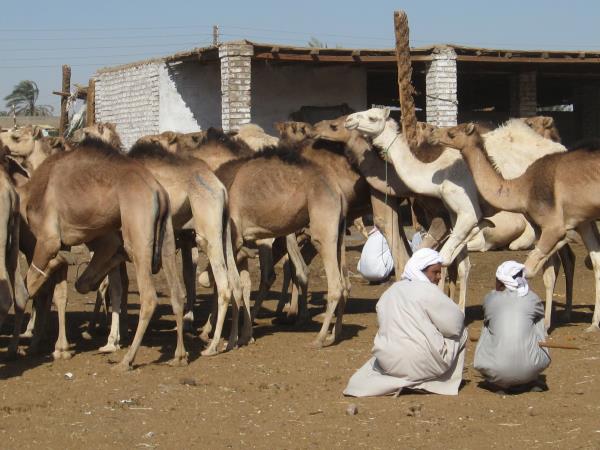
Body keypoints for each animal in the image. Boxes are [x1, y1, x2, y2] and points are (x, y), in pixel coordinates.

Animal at [19, 138, 188, 370]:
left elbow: (31, 284)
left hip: (137, 231)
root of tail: (158, 191)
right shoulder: (74, 241)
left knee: (149, 297)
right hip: (167, 237)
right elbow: (62, 289)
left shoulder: (48, 239)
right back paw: (179, 356)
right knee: (177, 292)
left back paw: (126, 361)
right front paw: (53, 346)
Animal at [432, 123, 600, 330]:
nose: (434, 133)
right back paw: (593, 324)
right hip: (587, 222)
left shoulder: (553, 226)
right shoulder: (540, 227)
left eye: (451, 133)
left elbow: (528, 270)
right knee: (596, 260)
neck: (522, 189)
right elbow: (546, 272)